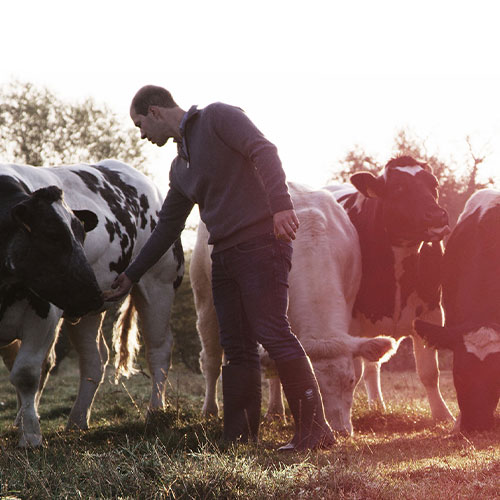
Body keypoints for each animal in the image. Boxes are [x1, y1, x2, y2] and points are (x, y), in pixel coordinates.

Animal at [0, 160, 184, 446]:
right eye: (52, 235)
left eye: (81, 234)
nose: (94, 293)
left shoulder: (45, 315)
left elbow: (27, 373)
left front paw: (30, 434)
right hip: (87, 311)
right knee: (94, 359)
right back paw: (77, 420)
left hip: (158, 285)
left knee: (158, 350)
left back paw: (155, 412)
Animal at [191, 182, 394, 436]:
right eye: (315, 386)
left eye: (350, 380)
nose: (340, 430)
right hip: (206, 300)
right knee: (211, 360)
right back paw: (213, 410)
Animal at [326, 155, 456, 422]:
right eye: (399, 188)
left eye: (434, 185)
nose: (437, 216)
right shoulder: (350, 320)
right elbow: (353, 370)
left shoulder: (431, 310)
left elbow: (429, 372)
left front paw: (443, 415)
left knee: (373, 366)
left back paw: (378, 406)